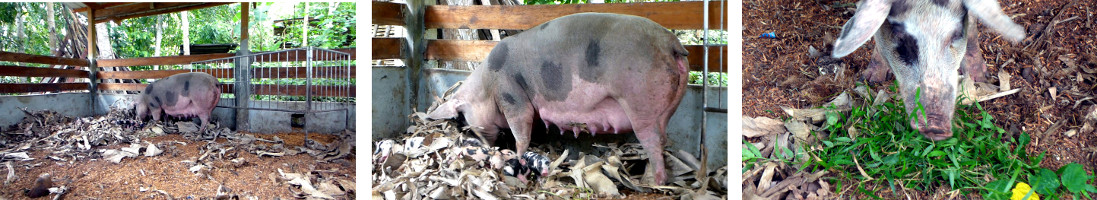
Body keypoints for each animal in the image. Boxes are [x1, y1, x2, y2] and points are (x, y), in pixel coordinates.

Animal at [425, 12, 684, 184]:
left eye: (462, 116)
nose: (485, 145)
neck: (486, 88)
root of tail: (672, 44)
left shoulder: (512, 96)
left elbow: (521, 132)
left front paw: (518, 156)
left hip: (641, 102)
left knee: (652, 141)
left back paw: (653, 183)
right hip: (664, 109)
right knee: (663, 139)